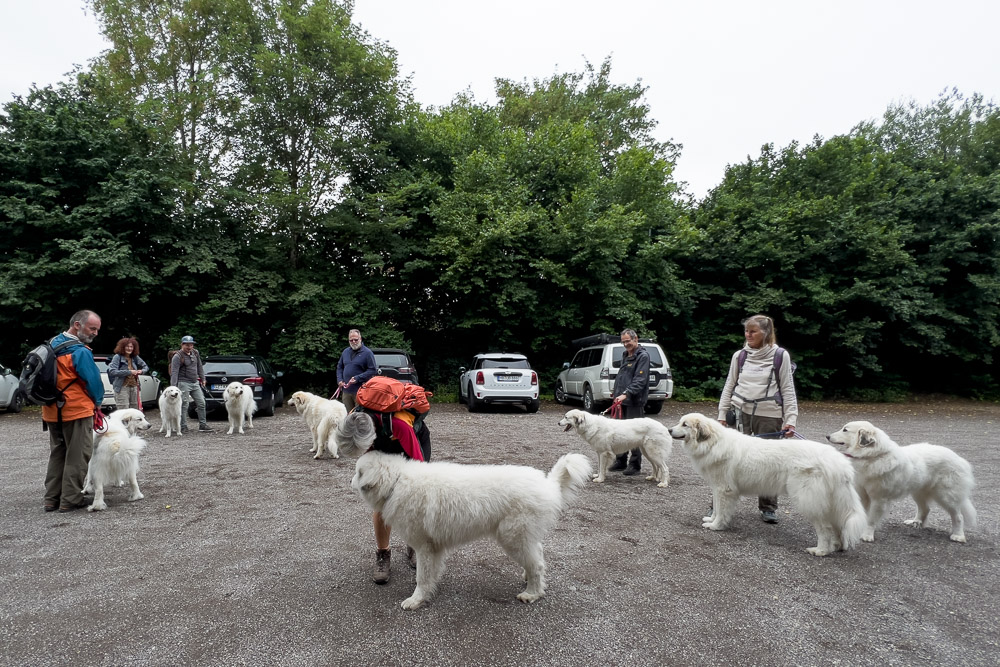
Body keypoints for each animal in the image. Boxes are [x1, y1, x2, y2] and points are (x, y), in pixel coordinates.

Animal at [350, 448, 588, 612]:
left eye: (357, 472)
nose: (349, 481)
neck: (397, 482)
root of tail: (549, 484)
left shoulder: (424, 547)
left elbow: (422, 578)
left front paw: (416, 600)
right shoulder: (433, 548)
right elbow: (431, 574)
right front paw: (428, 593)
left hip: (513, 538)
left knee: (537, 564)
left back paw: (532, 593)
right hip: (522, 538)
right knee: (537, 555)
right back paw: (527, 577)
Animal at [664, 414, 868, 556]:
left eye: (684, 424)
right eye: (679, 422)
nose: (668, 430)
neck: (713, 443)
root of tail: (839, 462)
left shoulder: (724, 490)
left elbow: (721, 511)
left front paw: (716, 526)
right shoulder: (717, 487)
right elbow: (716, 508)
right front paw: (711, 520)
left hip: (809, 501)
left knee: (825, 528)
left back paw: (821, 550)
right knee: (838, 525)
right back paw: (838, 546)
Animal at [828, 422, 976, 544]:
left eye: (845, 430)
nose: (827, 436)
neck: (872, 457)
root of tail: (959, 459)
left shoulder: (879, 499)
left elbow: (871, 519)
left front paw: (867, 535)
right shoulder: (862, 495)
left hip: (946, 496)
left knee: (958, 516)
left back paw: (958, 536)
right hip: (918, 492)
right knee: (925, 508)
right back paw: (916, 522)